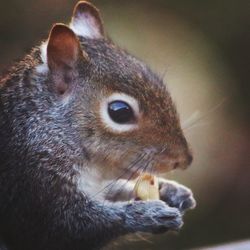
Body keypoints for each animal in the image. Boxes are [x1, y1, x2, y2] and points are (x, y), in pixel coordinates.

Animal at [0, 1, 195, 250]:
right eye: (120, 112)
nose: (184, 160)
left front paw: (170, 190)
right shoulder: (34, 186)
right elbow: (69, 227)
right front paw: (145, 214)